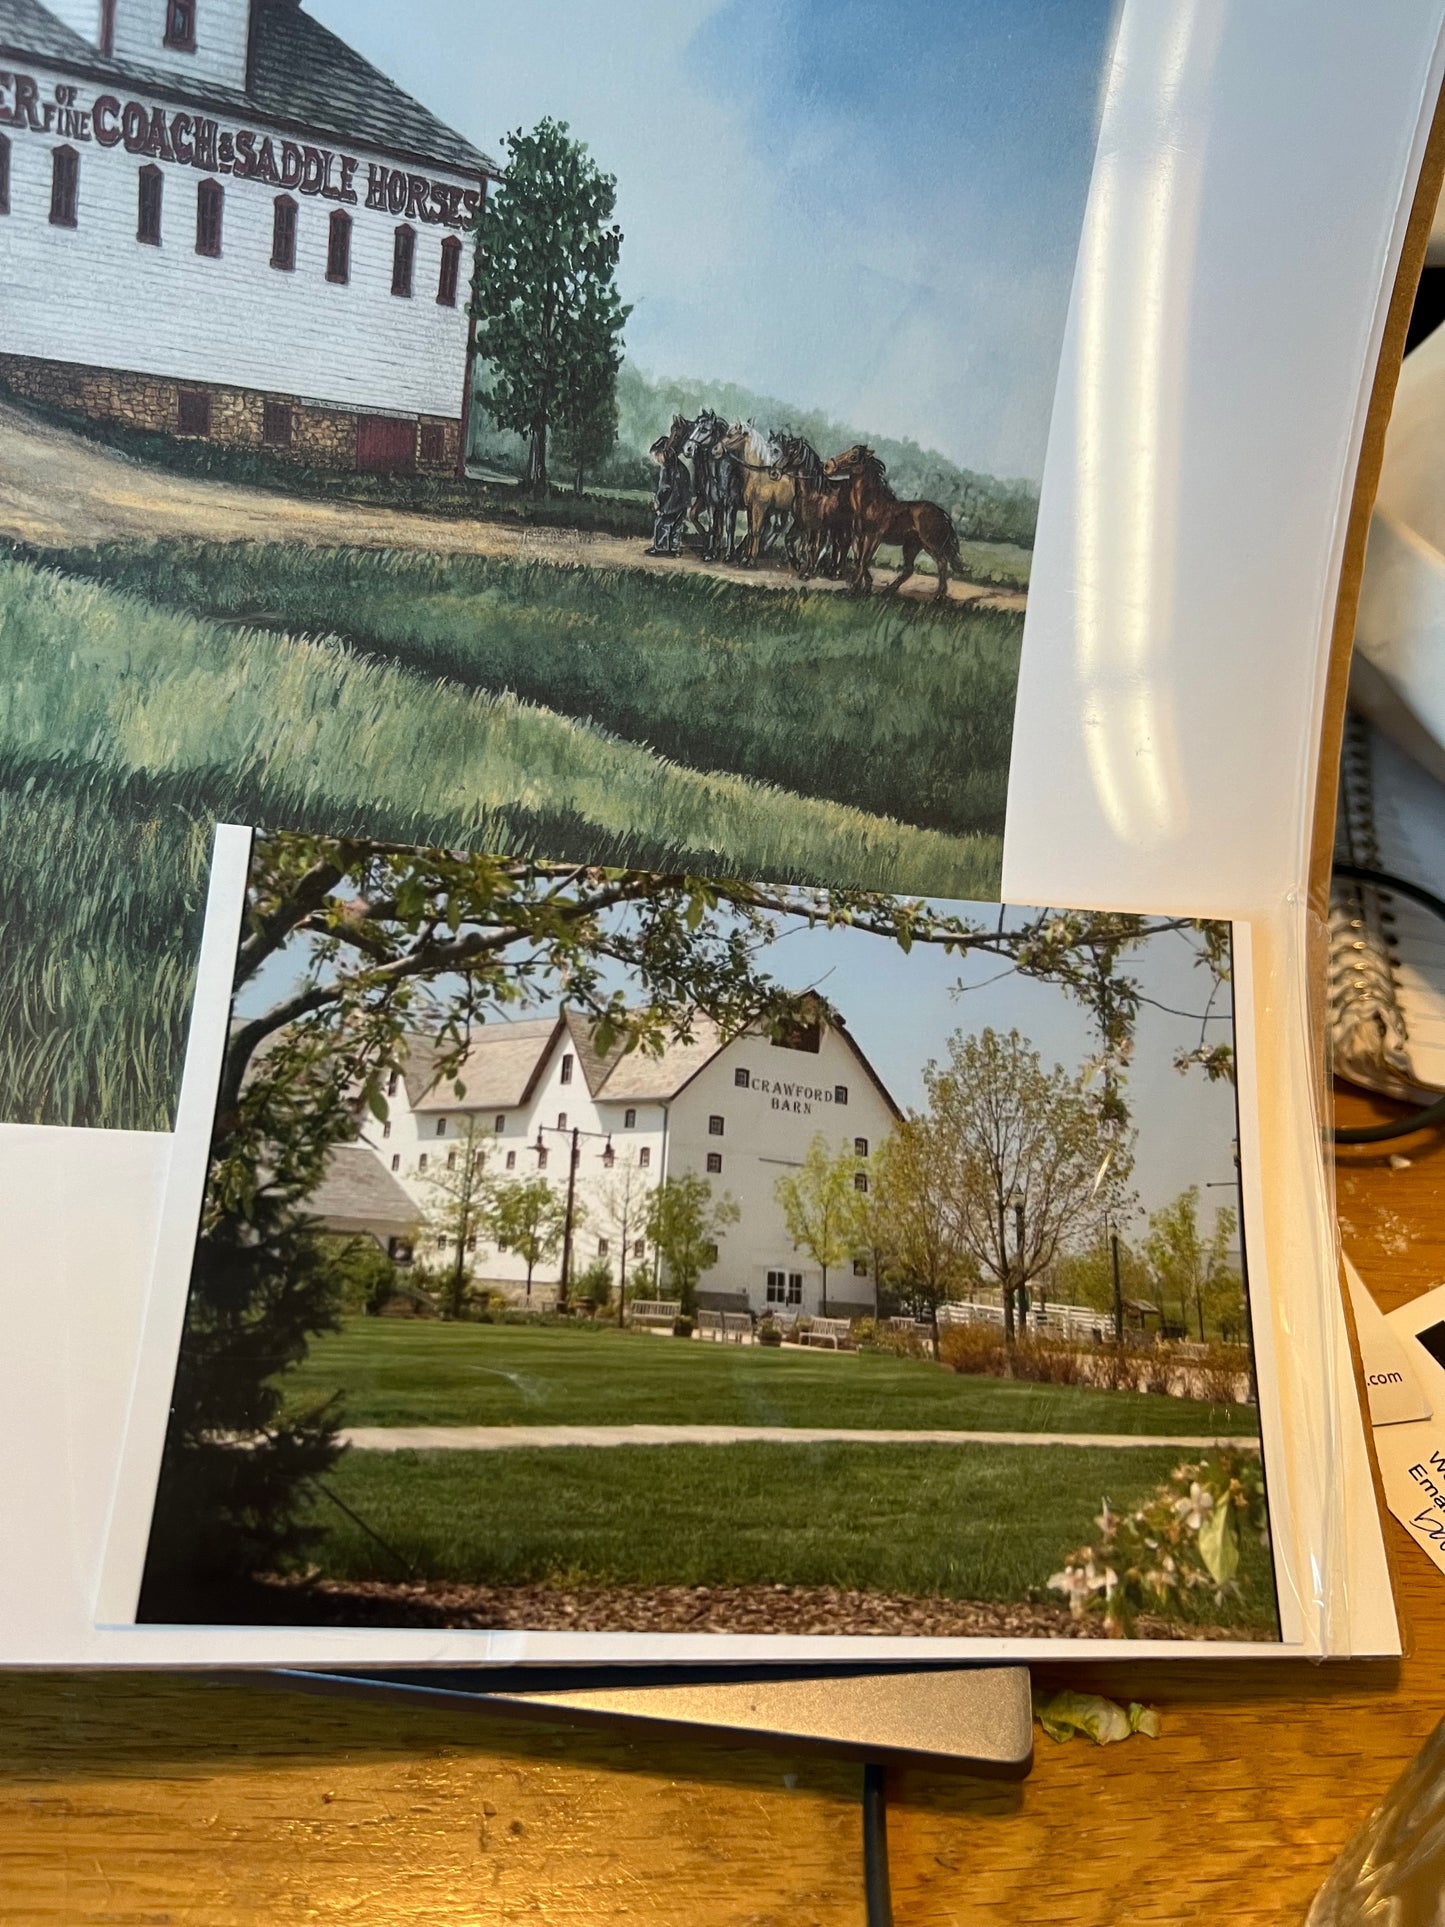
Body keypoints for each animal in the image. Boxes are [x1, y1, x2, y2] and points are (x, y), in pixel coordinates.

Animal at [682, 406, 747, 558]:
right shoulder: (711, 503)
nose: (687, 449)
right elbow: (713, 526)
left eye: (704, 429)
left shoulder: (730, 504)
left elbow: (729, 527)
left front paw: (728, 554)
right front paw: (710, 552)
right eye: (694, 427)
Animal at [824, 443, 963, 593]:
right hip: (912, 546)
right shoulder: (857, 536)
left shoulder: (873, 537)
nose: (827, 466)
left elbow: (864, 560)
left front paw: (854, 588)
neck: (869, 505)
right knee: (909, 569)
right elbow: (858, 559)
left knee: (942, 563)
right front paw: (863, 586)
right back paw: (888, 590)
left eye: (853, 456)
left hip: (932, 545)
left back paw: (939, 595)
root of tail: (944, 515)